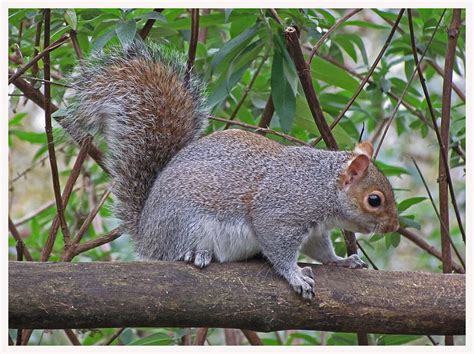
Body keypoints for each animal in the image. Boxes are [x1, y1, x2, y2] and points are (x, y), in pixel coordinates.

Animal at [62, 40, 396, 298]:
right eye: (374, 200)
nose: (393, 228)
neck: (320, 184)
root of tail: (146, 233)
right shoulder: (280, 211)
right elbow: (279, 248)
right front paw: (296, 276)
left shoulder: (314, 229)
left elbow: (320, 250)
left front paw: (342, 260)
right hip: (184, 222)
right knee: (173, 252)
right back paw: (197, 253)